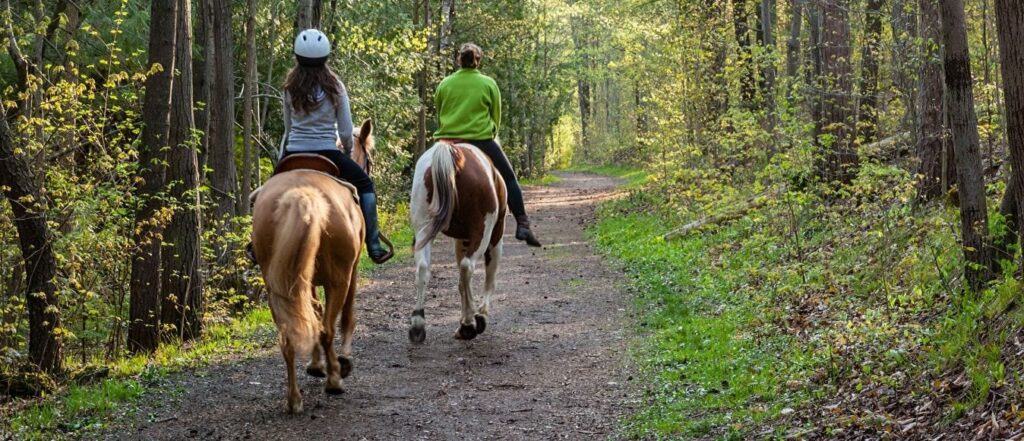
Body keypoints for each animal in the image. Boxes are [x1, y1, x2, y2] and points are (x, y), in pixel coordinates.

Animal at [251, 118, 376, 413]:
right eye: (369, 156)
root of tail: (302, 193)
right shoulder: (352, 272)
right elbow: (346, 316)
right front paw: (342, 361)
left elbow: (312, 312)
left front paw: (316, 364)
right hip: (338, 278)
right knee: (328, 327)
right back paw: (335, 380)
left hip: (277, 285)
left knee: (289, 336)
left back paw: (294, 399)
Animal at [405, 140, 505, 343]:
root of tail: (450, 151)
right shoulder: (495, 236)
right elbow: (489, 277)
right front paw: (480, 315)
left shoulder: (461, 240)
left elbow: (460, 283)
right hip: (483, 231)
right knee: (468, 267)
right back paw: (470, 321)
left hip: (423, 229)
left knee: (423, 269)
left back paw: (418, 325)